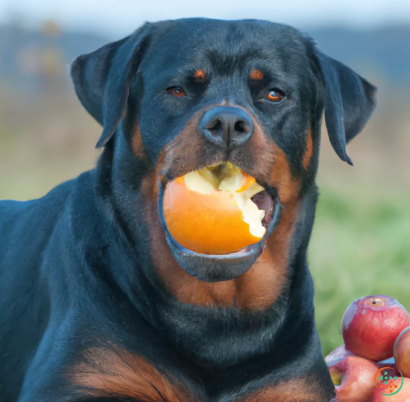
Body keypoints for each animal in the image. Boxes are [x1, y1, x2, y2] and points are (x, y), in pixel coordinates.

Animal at [0, 18, 376, 402]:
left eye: (274, 94)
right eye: (177, 90)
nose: (227, 123)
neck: (216, 318)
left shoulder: (297, 388)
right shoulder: (78, 381)